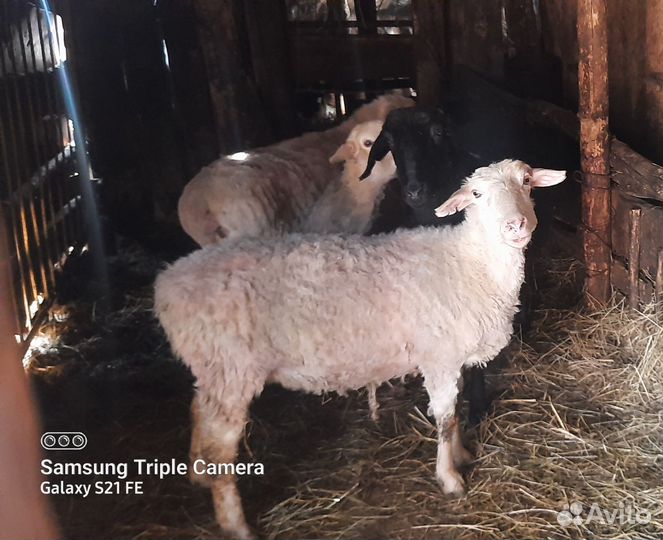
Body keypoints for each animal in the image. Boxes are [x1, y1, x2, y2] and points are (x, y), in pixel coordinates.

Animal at [155, 159, 565, 538]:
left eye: (526, 180)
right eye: (477, 194)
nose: (515, 226)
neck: (470, 262)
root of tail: (167, 285)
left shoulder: (449, 359)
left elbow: (457, 409)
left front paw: (462, 454)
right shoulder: (438, 356)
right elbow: (446, 418)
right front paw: (450, 477)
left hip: (213, 369)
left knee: (198, 411)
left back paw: (198, 475)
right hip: (231, 369)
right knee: (221, 449)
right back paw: (236, 524)